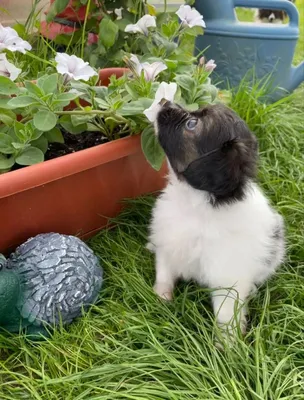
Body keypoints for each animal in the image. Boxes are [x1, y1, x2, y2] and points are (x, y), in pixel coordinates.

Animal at [147, 102, 284, 340]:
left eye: (191, 124)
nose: (166, 102)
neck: (195, 204)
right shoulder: (168, 244)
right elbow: (164, 272)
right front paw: (161, 297)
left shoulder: (228, 280)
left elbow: (226, 316)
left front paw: (227, 344)